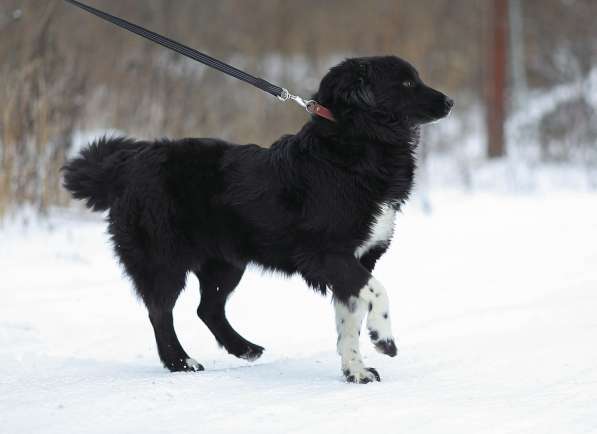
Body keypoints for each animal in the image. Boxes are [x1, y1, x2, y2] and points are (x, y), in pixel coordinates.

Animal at [62, 55, 452, 384]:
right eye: (406, 83)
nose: (449, 102)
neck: (356, 146)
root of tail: (127, 164)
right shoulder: (327, 254)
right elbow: (377, 291)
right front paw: (384, 339)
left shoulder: (356, 259)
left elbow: (349, 321)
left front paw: (355, 370)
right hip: (164, 260)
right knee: (161, 312)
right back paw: (181, 362)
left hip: (226, 262)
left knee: (208, 308)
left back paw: (244, 348)